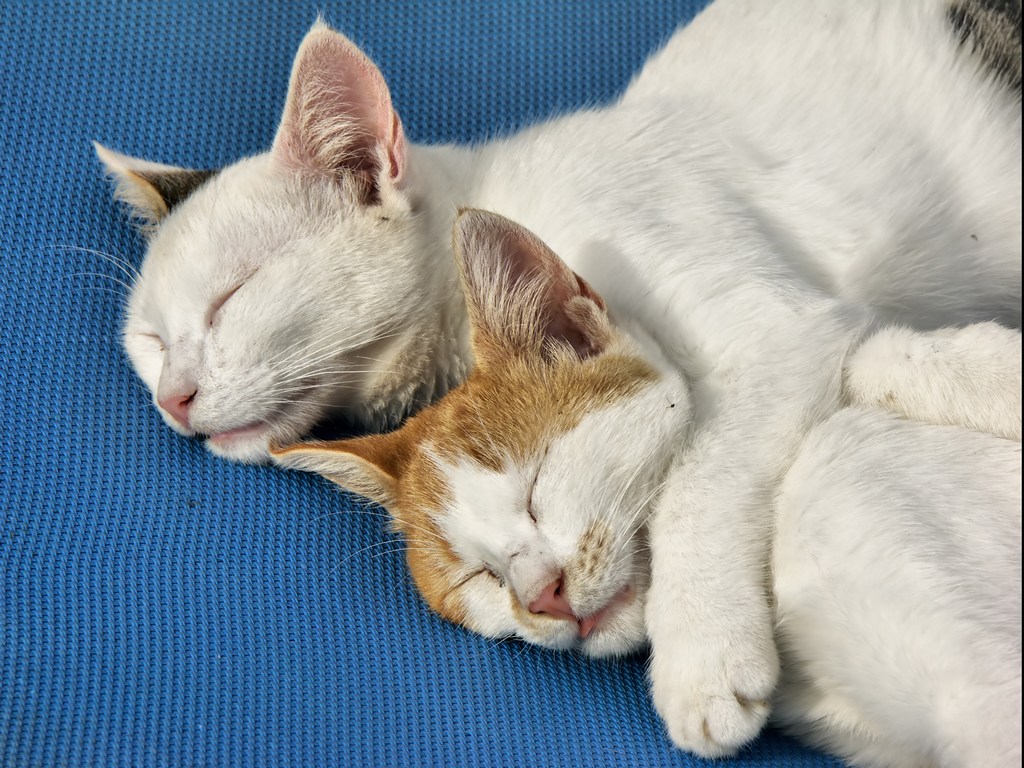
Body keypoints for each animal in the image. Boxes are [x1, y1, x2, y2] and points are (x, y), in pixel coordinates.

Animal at [272, 210, 1024, 768]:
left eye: (536, 486)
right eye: (477, 577)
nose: (540, 596)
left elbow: (707, 481)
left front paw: (702, 652)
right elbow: (881, 356)